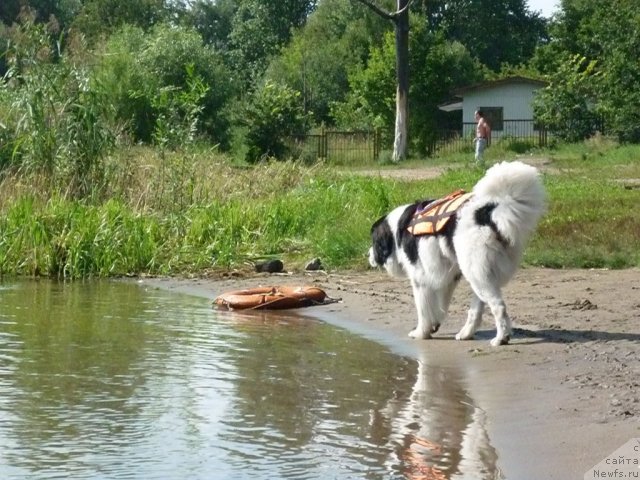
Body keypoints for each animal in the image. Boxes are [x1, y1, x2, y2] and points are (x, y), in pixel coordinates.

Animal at [370, 161, 544, 344]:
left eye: (373, 242)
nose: (368, 255)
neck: (397, 229)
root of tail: (488, 211)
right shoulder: (447, 276)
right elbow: (440, 305)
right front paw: (434, 324)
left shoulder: (420, 277)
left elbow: (423, 309)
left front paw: (421, 332)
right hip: (481, 274)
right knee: (477, 308)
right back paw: (466, 333)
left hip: (475, 271)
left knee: (498, 306)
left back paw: (501, 338)